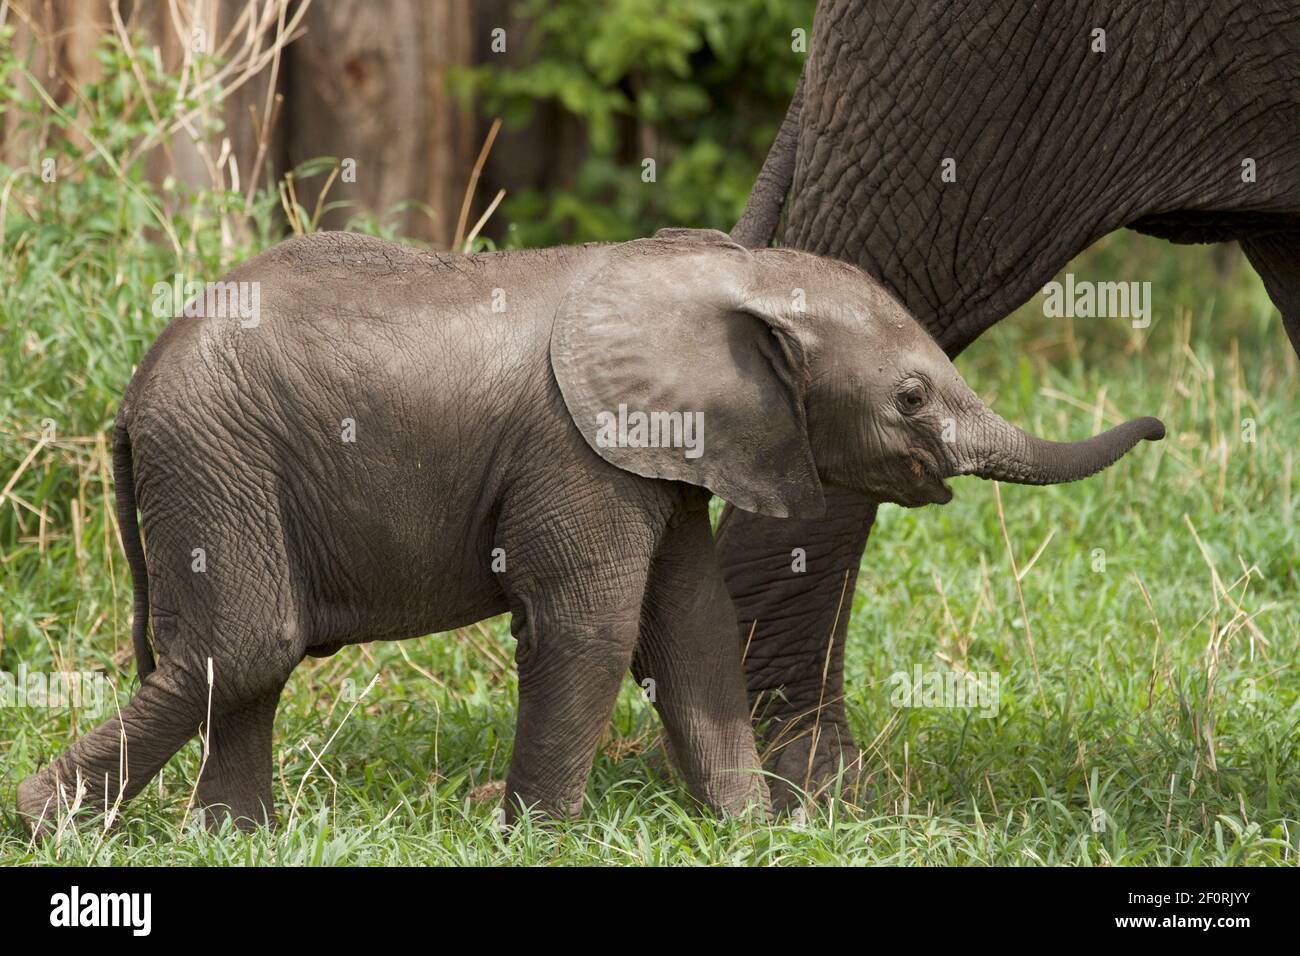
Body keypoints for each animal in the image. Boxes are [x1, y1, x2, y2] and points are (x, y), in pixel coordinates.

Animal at [17, 227, 1159, 832]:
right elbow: (591, 628)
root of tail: (133, 392)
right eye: (912, 398)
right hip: (218, 455)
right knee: (246, 646)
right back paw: (44, 822)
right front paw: (533, 837)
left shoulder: (666, 456)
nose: (1157, 424)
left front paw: (752, 830)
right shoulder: (580, 453)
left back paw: (233, 836)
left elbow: (696, 629)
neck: (733, 273)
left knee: (253, 658)